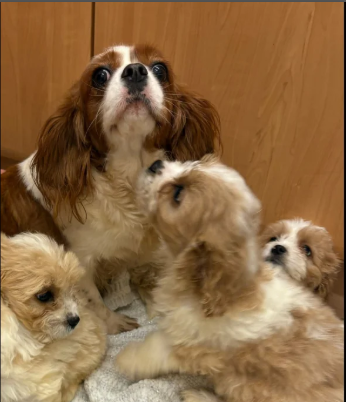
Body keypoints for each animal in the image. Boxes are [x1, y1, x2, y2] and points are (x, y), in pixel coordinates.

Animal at [1, 43, 220, 332]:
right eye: (100, 75)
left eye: (159, 69)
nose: (136, 71)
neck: (128, 174)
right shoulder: (81, 260)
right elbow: (92, 299)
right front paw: (114, 323)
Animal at [115, 156, 344, 402]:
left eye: (177, 194)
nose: (156, 163)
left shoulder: (198, 344)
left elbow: (159, 348)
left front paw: (129, 359)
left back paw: (200, 395)